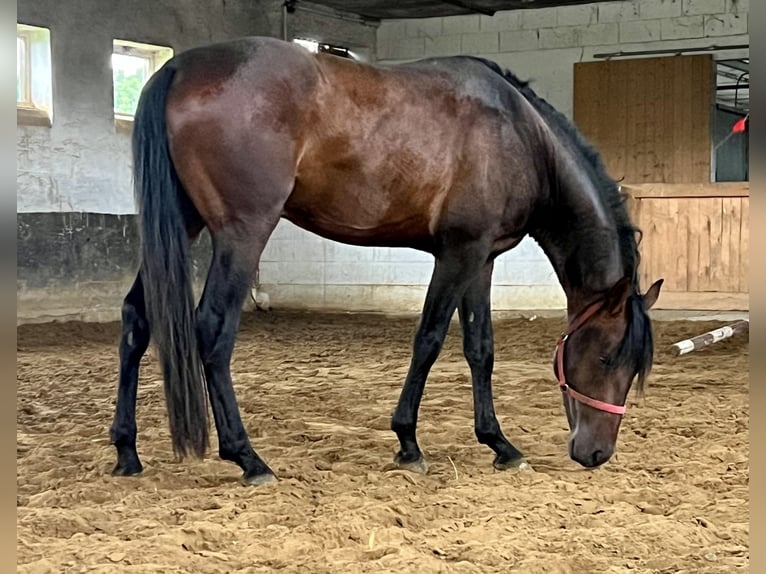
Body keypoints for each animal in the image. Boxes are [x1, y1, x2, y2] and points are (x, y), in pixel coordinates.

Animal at [109, 35, 664, 486]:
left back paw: (127, 451)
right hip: (242, 234)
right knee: (211, 330)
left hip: (183, 225)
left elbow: (480, 348)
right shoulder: (459, 253)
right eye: (608, 357)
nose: (596, 453)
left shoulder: (482, 258)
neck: (521, 136)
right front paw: (408, 443)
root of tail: (178, 68)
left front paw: (499, 444)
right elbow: (430, 340)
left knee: (138, 318)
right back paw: (248, 458)